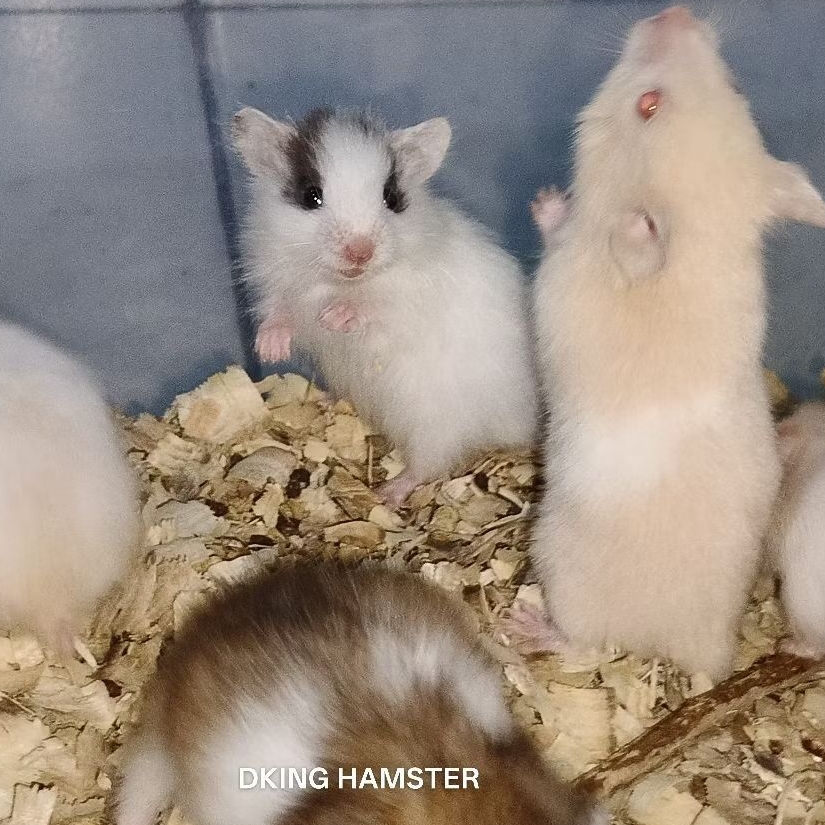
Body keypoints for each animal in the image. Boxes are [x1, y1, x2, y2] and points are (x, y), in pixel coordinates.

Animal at [231, 107, 538, 507]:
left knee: (428, 466)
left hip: (434, 424)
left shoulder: (410, 299)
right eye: (311, 196)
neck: (340, 282)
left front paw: (335, 318)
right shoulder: (278, 286)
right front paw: (270, 350)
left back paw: (387, 494)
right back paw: (328, 403)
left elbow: (377, 310)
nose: (360, 252)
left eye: (391, 197)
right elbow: (279, 315)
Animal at [530, 6, 825, 679]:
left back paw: (526, 627)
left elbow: (567, 233)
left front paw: (549, 202)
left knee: (584, 644)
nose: (675, 10)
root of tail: (704, 655)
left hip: (559, 571)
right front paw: (548, 197)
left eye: (648, 105)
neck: (699, 245)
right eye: (740, 84)